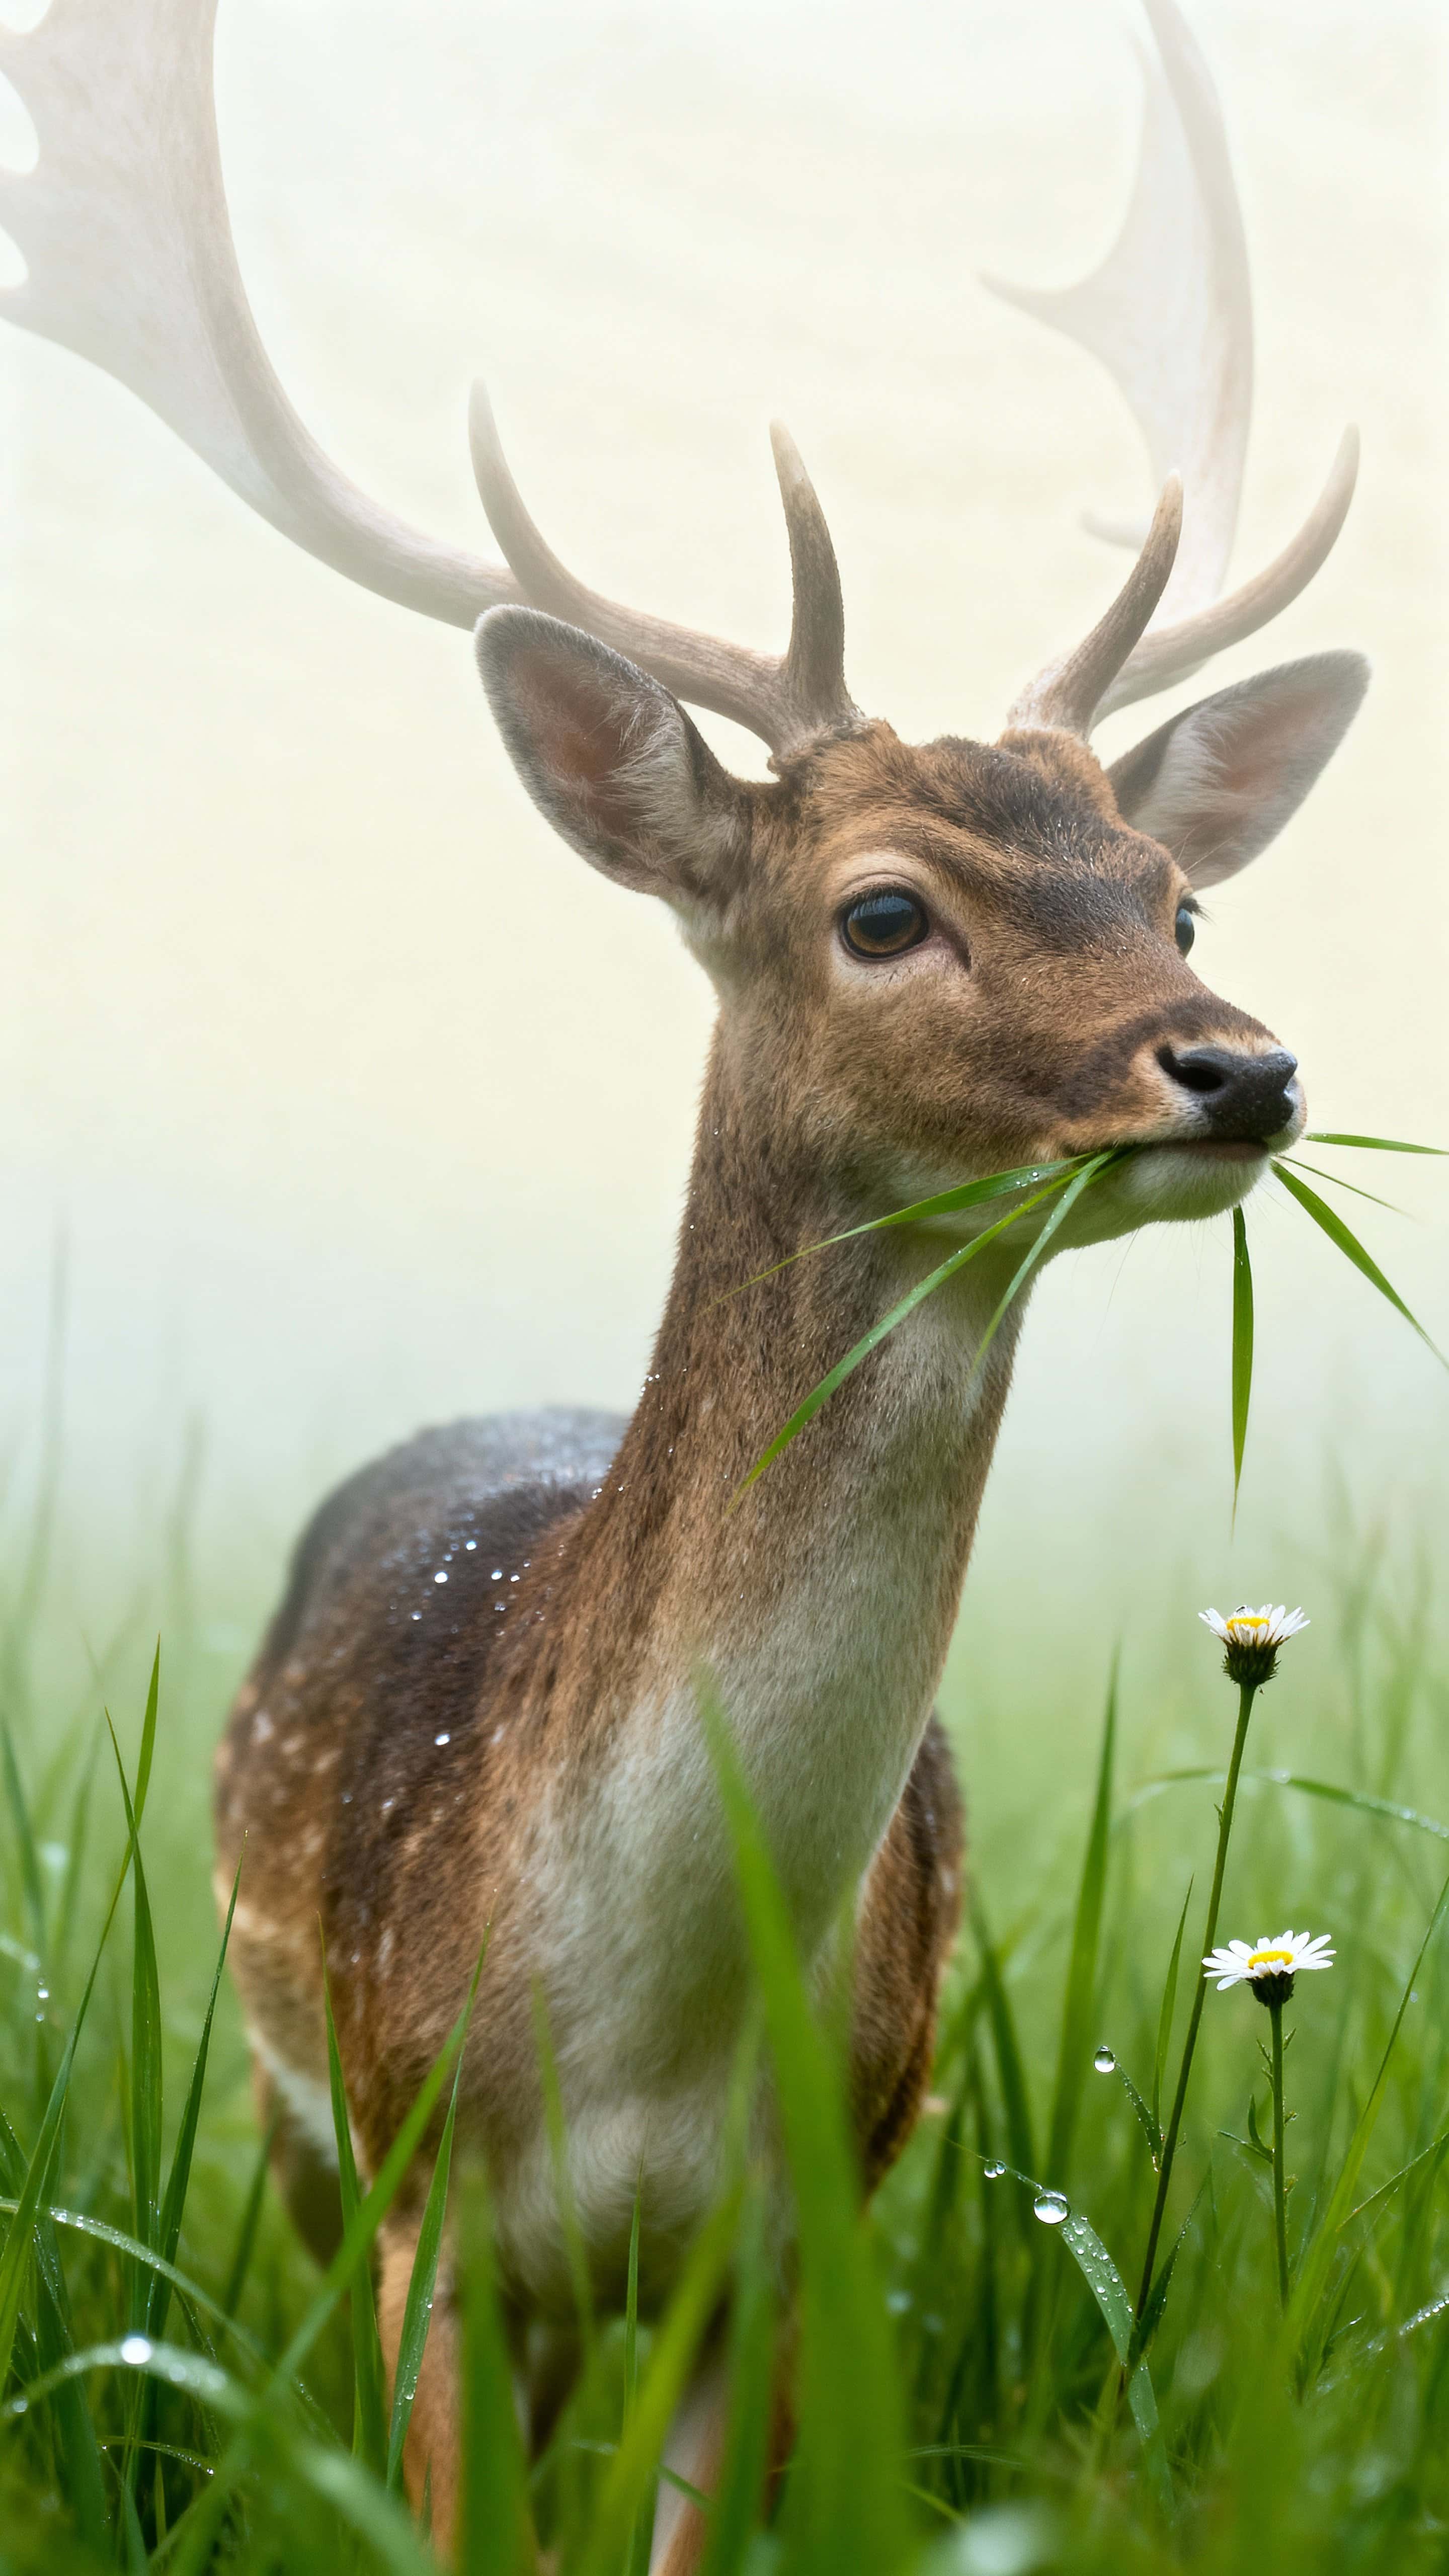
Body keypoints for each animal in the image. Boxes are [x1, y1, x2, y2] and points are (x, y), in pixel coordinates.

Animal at [2, 0, 1368, 2563]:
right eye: (881, 906)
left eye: (1176, 894)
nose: (1239, 1064)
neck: (646, 2041)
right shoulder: (426, 2189)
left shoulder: (807, 2215)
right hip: (292, 2120)